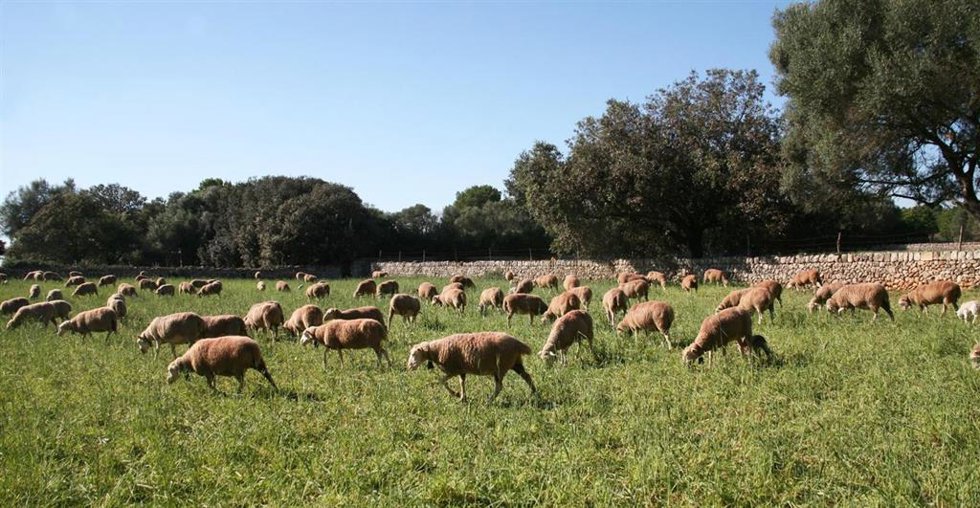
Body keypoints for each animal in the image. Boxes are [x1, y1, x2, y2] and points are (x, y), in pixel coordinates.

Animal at [407, 332, 536, 402]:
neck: (437, 350)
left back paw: (489, 401)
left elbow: (441, 380)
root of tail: (518, 344)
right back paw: (534, 393)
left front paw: (455, 393)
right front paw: (462, 397)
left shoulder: (453, 370)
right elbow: (461, 382)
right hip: (515, 363)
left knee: (499, 386)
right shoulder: (461, 369)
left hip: (501, 366)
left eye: (414, 354)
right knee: (527, 377)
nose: (409, 367)